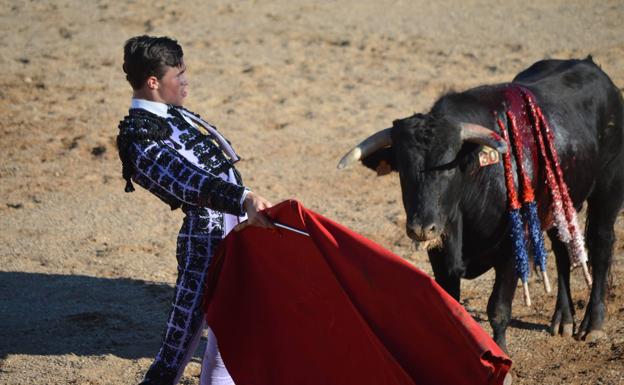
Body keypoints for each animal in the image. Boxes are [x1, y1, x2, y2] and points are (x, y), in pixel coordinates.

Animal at [338, 57, 624, 352]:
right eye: (403, 171)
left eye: (449, 168)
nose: (422, 229)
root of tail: (591, 66)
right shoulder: (440, 253)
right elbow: (450, 304)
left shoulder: (513, 248)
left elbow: (498, 308)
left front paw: (501, 353)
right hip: (559, 202)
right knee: (561, 247)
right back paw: (564, 319)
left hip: (609, 187)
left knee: (601, 243)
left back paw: (592, 324)